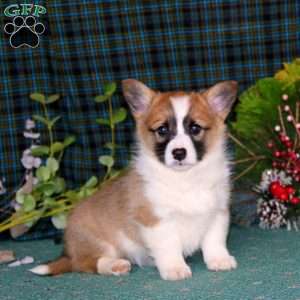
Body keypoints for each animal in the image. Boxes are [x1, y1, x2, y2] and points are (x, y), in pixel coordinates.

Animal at [30, 78, 238, 280]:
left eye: (195, 128)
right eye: (162, 130)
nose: (179, 153)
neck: (185, 178)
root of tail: (68, 252)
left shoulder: (217, 213)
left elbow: (214, 241)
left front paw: (219, 260)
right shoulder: (156, 221)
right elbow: (169, 246)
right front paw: (175, 268)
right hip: (98, 244)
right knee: (86, 263)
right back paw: (115, 265)